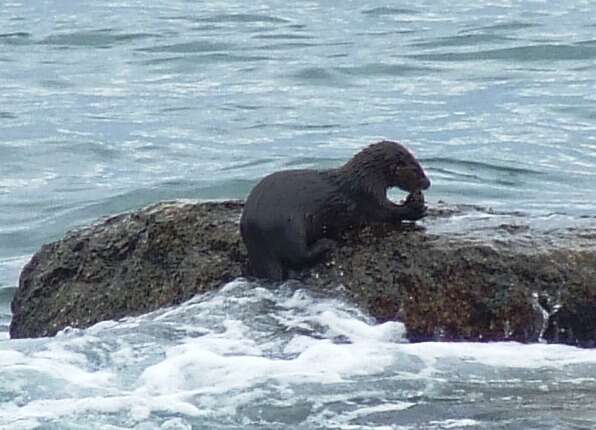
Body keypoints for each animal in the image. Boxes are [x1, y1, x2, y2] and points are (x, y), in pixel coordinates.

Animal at [240, 141, 430, 280]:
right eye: (417, 170)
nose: (428, 183)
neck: (365, 179)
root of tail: (254, 235)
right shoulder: (367, 196)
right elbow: (386, 212)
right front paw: (416, 209)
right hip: (289, 226)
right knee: (298, 254)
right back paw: (327, 244)